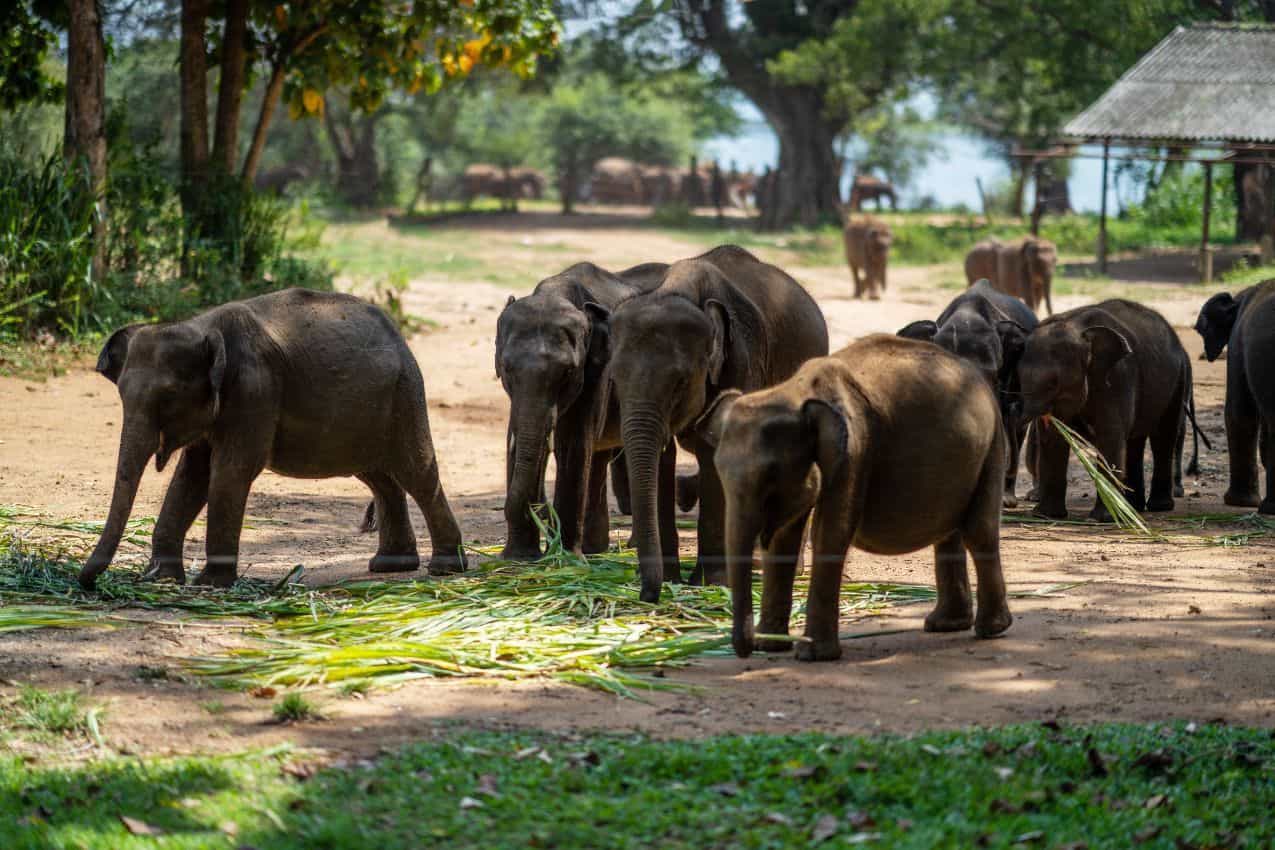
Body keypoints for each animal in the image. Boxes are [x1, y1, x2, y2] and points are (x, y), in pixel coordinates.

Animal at [80, 288, 465, 590]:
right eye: (121, 396)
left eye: (169, 397)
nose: (86, 583)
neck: (201, 325)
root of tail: (398, 335)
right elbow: (192, 475)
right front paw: (160, 578)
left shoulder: (254, 389)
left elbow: (230, 471)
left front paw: (210, 585)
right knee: (379, 476)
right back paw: (390, 565)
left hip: (405, 394)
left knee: (416, 472)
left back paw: (445, 568)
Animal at [495, 261, 669, 559]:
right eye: (506, 369)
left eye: (567, 372)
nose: (538, 509)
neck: (556, 292)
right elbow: (514, 440)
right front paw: (518, 558)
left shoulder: (596, 371)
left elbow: (571, 444)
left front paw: (562, 558)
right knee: (598, 457)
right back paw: (594, 550)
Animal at [604, 244, 829, 603]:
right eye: (614, 380)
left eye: (680, 382)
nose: (647, 594)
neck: (677, 288)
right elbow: (662, 461)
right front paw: (671, 579)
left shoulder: (741, 361)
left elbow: (714, 452)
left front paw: (709, 584)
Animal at [700, 334, 1012, 661]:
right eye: (719, 470)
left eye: (771, 474)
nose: (744, 650)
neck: (794, 392)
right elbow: (785, 539)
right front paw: (770, 645)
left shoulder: (855, 449)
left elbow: (829, 533)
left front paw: (813, 655)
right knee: (949, 530)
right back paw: (945, 625)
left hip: (993, 448)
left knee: (978, 531)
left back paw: (990, 629)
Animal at [1017, 299, 1190, 522]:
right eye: (1018, 376)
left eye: (1053, 384)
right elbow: (1055, 438)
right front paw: (1045, 516)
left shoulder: (1117, 377)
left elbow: (1110, 434)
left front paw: (1102, 519)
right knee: (1134, 441)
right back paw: (1133, 506)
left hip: (1178, 381)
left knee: (1163, 436)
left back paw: (1157, 507)